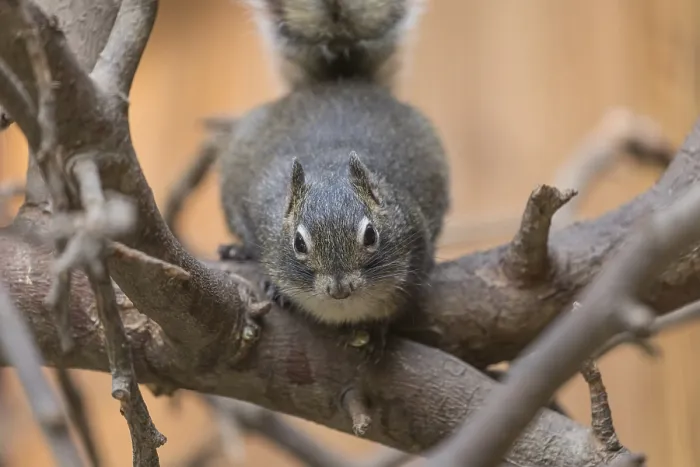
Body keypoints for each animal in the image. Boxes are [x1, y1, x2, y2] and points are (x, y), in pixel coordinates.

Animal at [217, 0, 450, 357]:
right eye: (299, 243)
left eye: (371, 235)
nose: (340, 288)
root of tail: (339, 82)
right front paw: (274, 285)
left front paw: (377, 329)